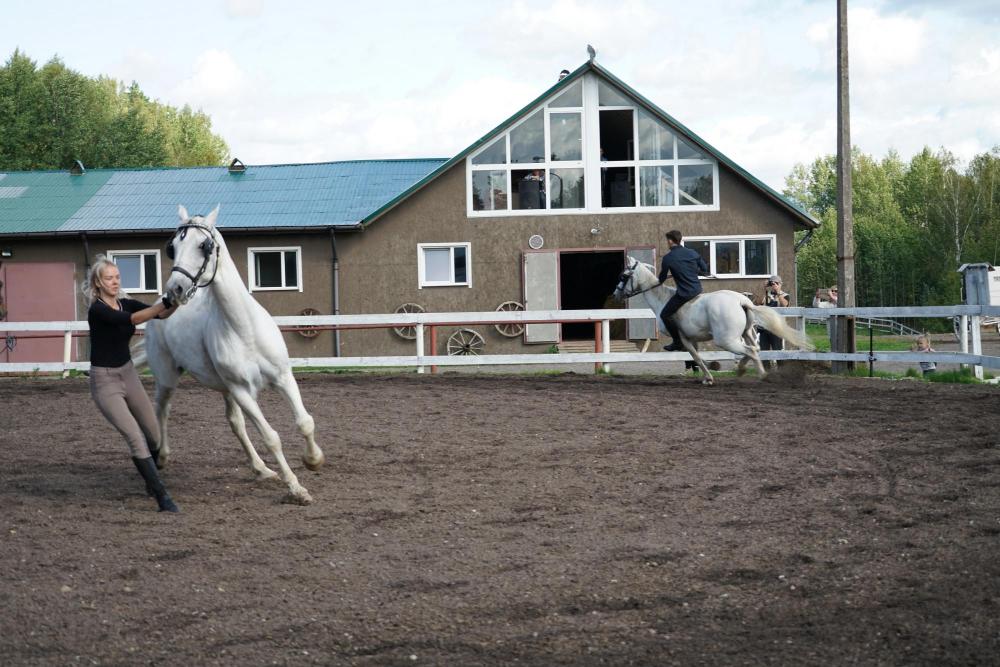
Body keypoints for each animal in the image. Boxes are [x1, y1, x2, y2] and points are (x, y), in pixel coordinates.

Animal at [143, 205, 325, 504]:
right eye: (173, 247)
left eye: (204, 245)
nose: (175, 290)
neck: (245, 329)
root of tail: (157, 307)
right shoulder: (242, 391)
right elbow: (271, 437)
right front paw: (297, 489)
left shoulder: (283, 378)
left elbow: (305, 422)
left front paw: (313, 460)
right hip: (169, 378)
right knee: (162, 409)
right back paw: (161, 456)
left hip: (226, 389)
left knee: (235, 423)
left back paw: (261, 469)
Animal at [612, 256, 813, 384]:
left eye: (623, 276)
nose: (615, 294)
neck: (662, 298)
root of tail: (741, 300)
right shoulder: (691, 338)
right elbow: (696, 357)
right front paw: (709, 371)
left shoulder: (683, 339)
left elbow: (696, 358)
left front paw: (709, 375)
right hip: (747, 333)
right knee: (755, 349)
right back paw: (751, 370)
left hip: (726, 340)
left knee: (750, 351)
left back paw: (755, 373)